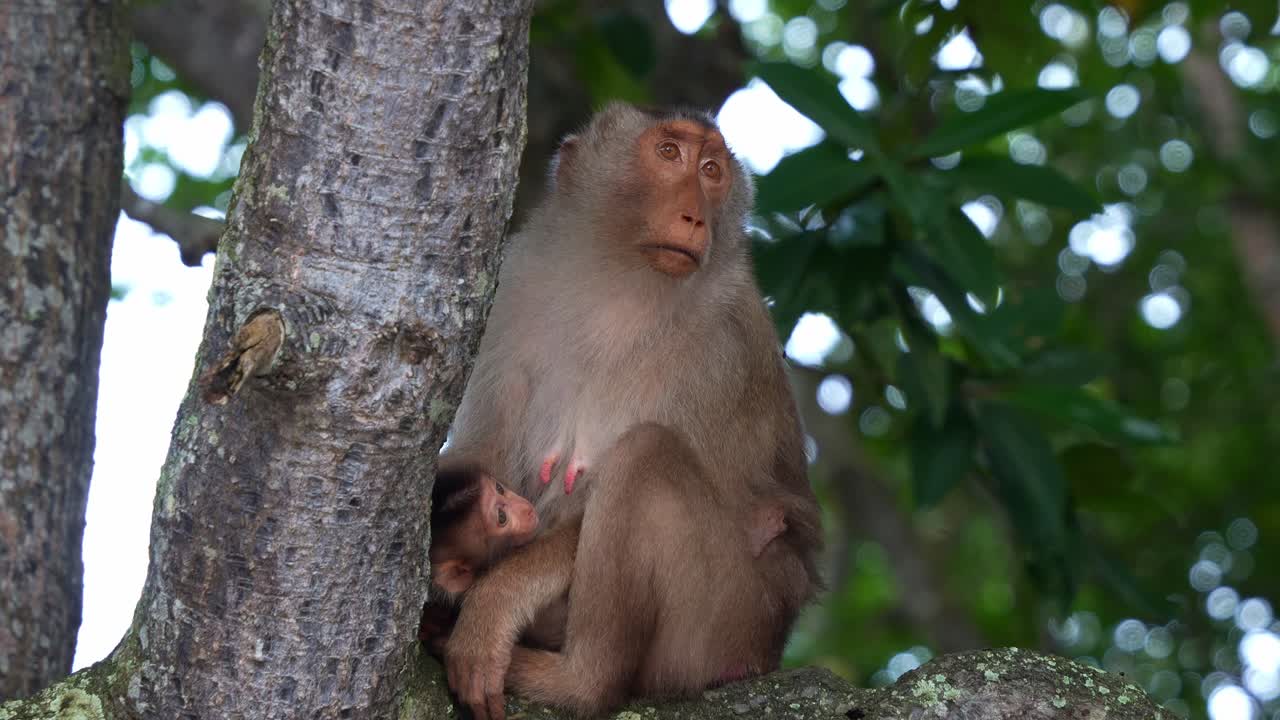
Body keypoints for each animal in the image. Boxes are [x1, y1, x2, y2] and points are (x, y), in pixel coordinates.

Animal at [438, 102, 823, 720]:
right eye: (669, 153)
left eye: (711, 170)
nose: (694, 216)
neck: (621, 287)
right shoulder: (513, 290)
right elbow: (485, 454)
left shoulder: (722, 347)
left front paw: (490, 608)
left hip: (722, 621)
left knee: (646, 455)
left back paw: (577, 683)